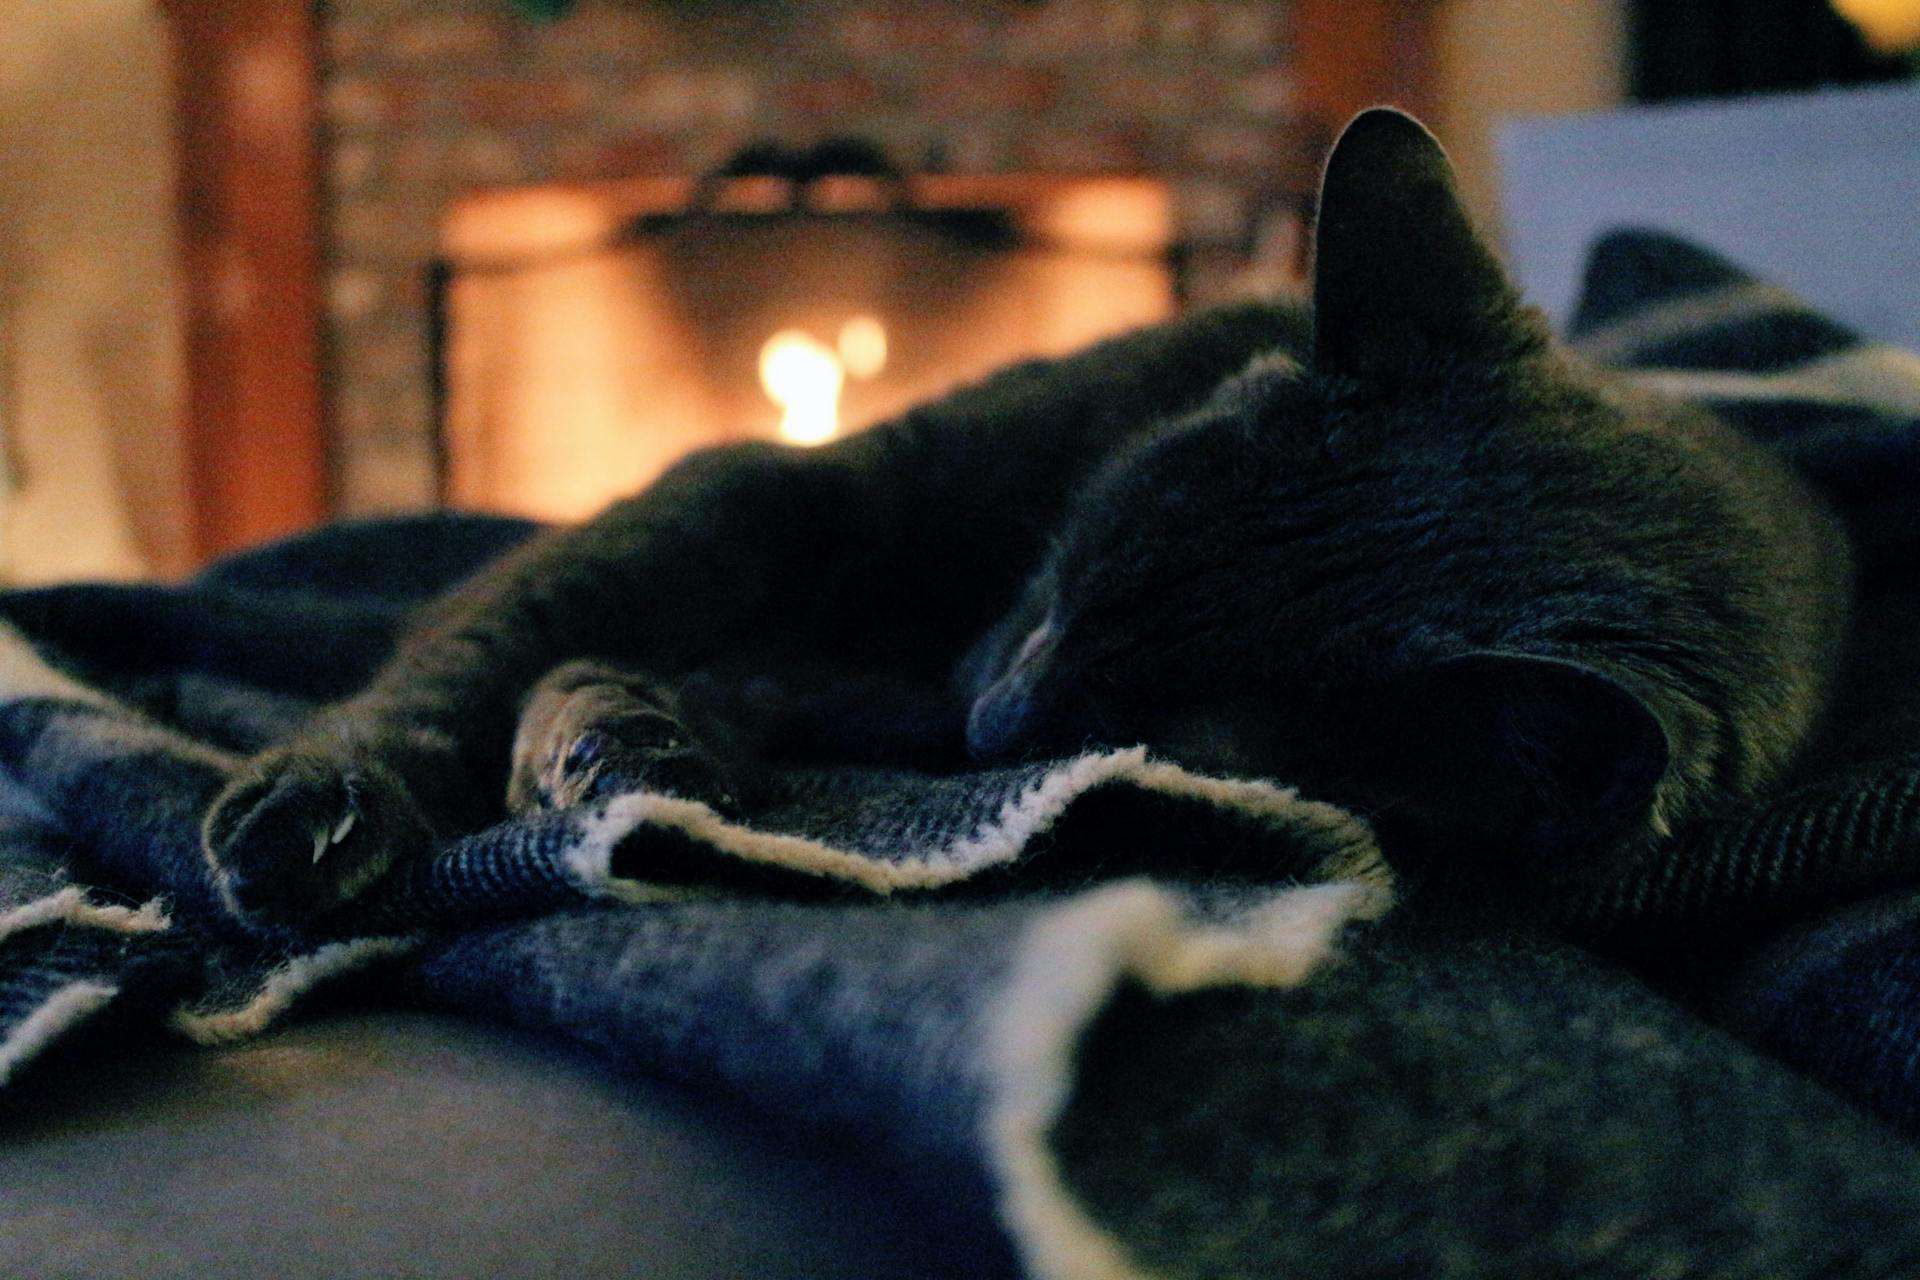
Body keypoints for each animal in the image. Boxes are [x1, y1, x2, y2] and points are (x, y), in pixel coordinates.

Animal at [202, 110, 1850, 924]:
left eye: (1143, 736)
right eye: (1071, 568)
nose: (996, 719)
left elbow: (617, 673)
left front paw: (625, 748)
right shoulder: (779, 490)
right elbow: (487, 647)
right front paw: (346, 798)